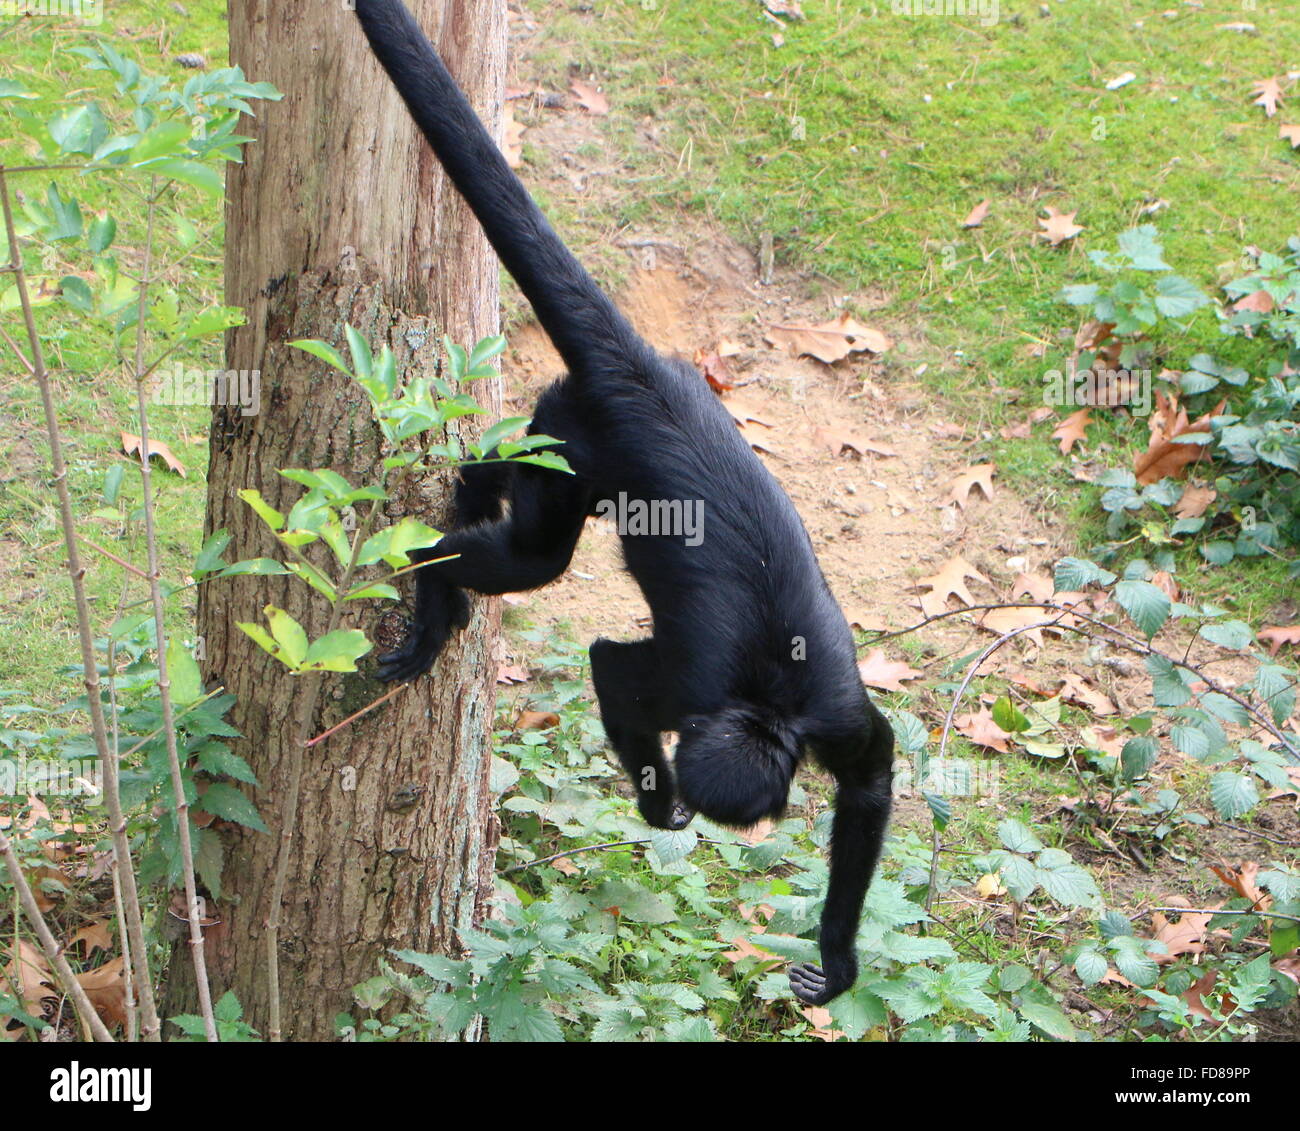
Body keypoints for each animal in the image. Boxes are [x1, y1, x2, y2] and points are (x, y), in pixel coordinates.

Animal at [351, 0, 889, 1008]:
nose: (731, 827)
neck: (767, 697)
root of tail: (641, 375)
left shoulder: (831, 709)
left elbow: (870, 776)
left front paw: (838, 963)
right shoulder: (692, 685)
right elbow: (609, 662)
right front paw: (656, 799)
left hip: (566, 424)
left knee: (517, 493)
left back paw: (467, 489)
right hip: (583, 436)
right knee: (538, 557)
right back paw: (430, 577)